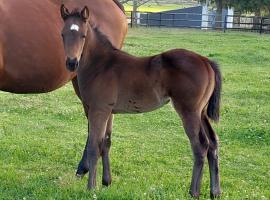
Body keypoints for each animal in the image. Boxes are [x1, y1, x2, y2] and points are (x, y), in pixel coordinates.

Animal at [60, 5, 221, 198]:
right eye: (62, 34)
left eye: (83, 35)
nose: (71, 63)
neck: (101, 65)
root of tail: (206, 61)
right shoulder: (109, 111)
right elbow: (106, 143)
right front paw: (106, 182)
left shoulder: (98, 110)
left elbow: (94, 146)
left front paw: (91, 187)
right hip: (201, 112)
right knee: (213, 143)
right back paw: (215, 192)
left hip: (189, 112)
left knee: (200, 146)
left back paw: (193, 192)